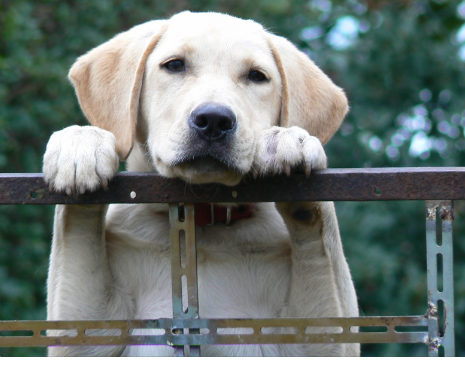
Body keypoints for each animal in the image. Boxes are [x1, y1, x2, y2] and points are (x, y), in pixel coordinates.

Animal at [41, 10, 358, 356]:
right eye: (175, 65)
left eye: (257, 76)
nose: (214, 120)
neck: (205, 222)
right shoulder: (91, 331)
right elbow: (78, 230)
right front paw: (80, 144)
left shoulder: (315, 338)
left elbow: (321, 237)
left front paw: (289, 139)